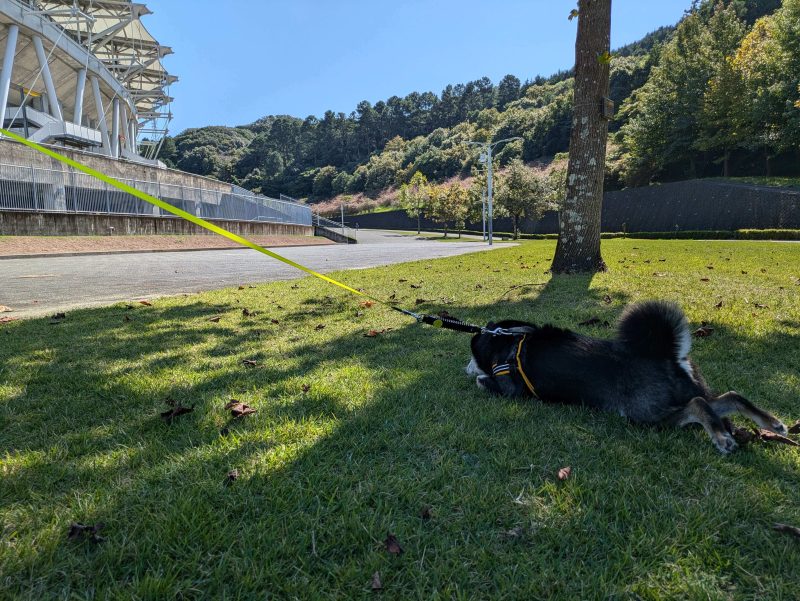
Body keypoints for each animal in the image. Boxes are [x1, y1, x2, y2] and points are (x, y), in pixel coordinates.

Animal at [466, 302, 792, 452]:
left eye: (471, 357)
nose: (465, 367)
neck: (507, 343)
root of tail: (668, 356)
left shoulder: (510, 391)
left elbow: (485, 383)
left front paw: (478, 378)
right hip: (678, 396)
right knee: (728, 398)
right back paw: (770, 423)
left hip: (647, 415)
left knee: (699, 406)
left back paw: (722, 437)